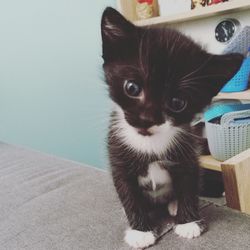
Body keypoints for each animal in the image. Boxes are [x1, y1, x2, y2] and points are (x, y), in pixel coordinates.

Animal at [100, 6, 243, 249]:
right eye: (132, 87)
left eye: (178, 102)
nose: (146, 119)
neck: (149, 142)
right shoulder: (118, 157)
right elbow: (128, 192)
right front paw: (140, 231)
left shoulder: (188, 155)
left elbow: (188, 185)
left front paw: (188, 223)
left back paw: (174, 205)